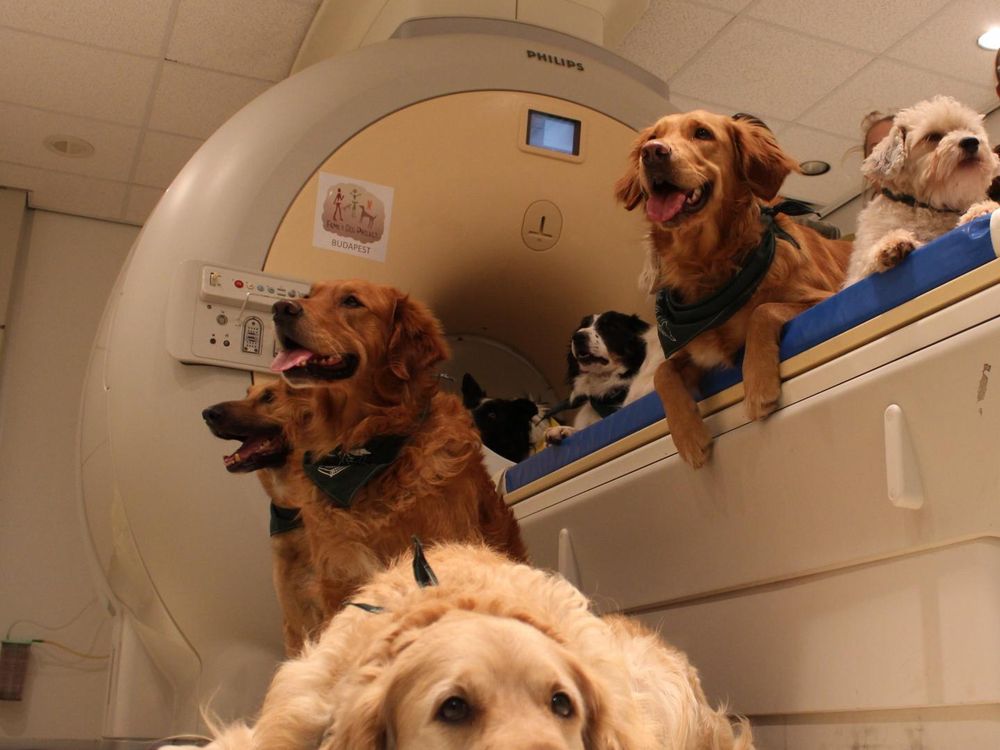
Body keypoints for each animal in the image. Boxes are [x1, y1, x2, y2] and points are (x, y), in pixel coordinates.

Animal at [844, 97, 1000, 288]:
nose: (971, 141)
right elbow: (867, 264)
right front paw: (890, 244)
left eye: (969, 130)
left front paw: (981, 209)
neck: (926, 207)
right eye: (932, 136)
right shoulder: (856, 276)